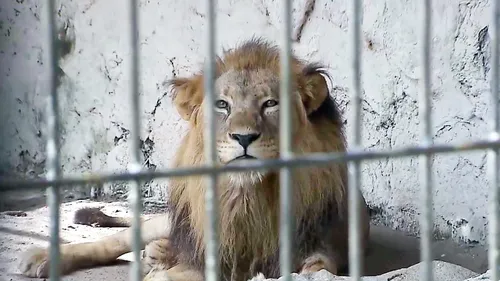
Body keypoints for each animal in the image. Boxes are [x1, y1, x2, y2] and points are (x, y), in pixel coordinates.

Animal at [17, 37, 372, 280]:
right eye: (223, 105)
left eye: (271, 103)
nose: (244, 137)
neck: (248, 197)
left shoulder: (318, 248)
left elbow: (316, 268)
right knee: (119, 239)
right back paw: (44, 258)